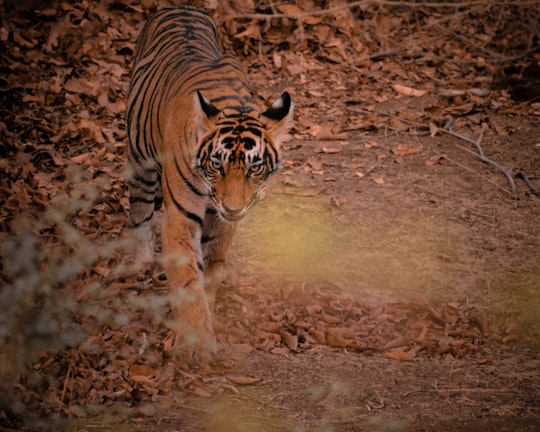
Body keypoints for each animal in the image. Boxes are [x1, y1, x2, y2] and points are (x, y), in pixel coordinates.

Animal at [125, 6, 296, 364]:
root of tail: (180, 6)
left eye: (255, 168)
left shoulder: (222, 223)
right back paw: (140, 262)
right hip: (139, 160)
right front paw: (196, 343)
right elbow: (189, 279)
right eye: (217, 165)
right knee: (140, 212)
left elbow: (211, 269)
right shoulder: (180, 217)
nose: (233, 207)